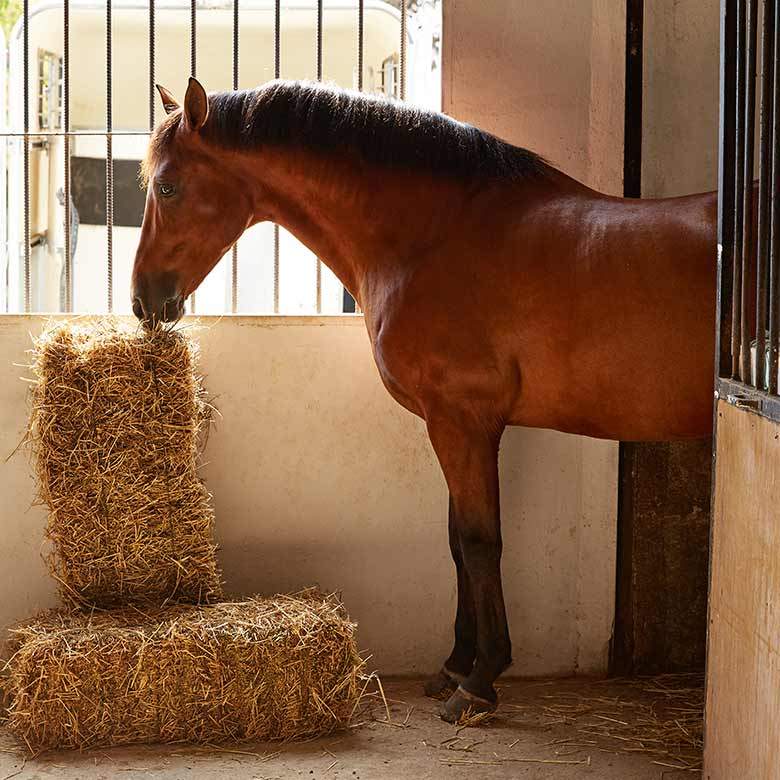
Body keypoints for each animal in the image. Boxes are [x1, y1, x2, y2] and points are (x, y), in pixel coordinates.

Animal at [133, 76, 720, 724]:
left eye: (167, 185)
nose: (143, 300)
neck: (434, 237)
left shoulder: (461, 422)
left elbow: (480, 543)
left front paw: (481, 681)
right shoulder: (453, 425)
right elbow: (457, 544)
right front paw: (455, 665)